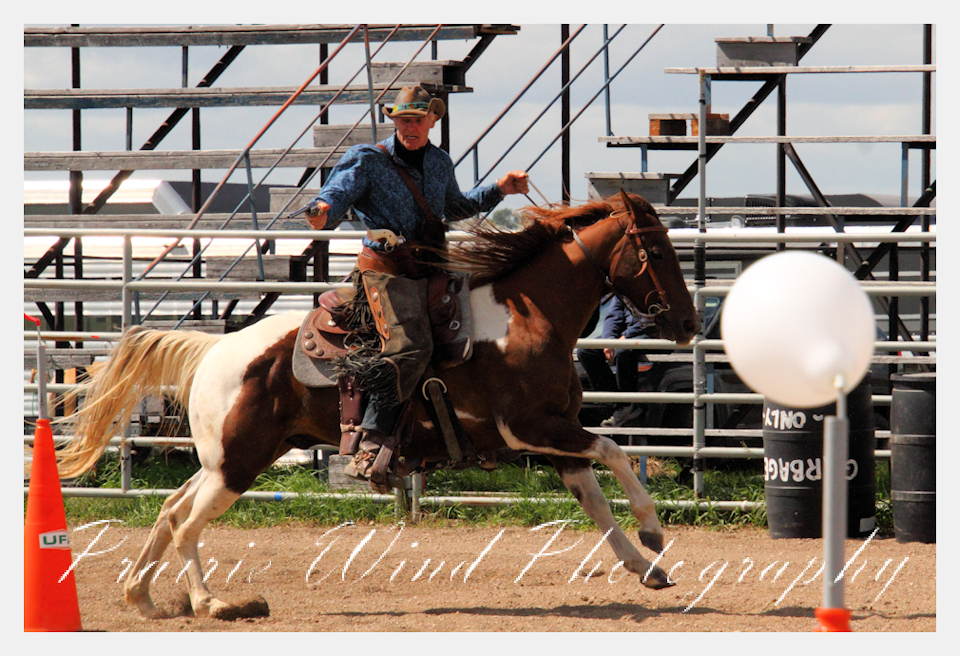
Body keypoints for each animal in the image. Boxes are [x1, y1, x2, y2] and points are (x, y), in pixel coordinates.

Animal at [56, 190, 700, 620]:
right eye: (658, 250)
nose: (690, 324)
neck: (528, 317)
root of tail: (216, 348)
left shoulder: (558, 434)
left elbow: (595, 499)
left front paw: (646, 568)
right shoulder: (528, 428)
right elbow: (614, 451)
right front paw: (653, 533)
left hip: (226, 459)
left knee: (171, 508)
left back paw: (142, 596)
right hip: (238, 463)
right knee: (188, 522)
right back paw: (210, 601)